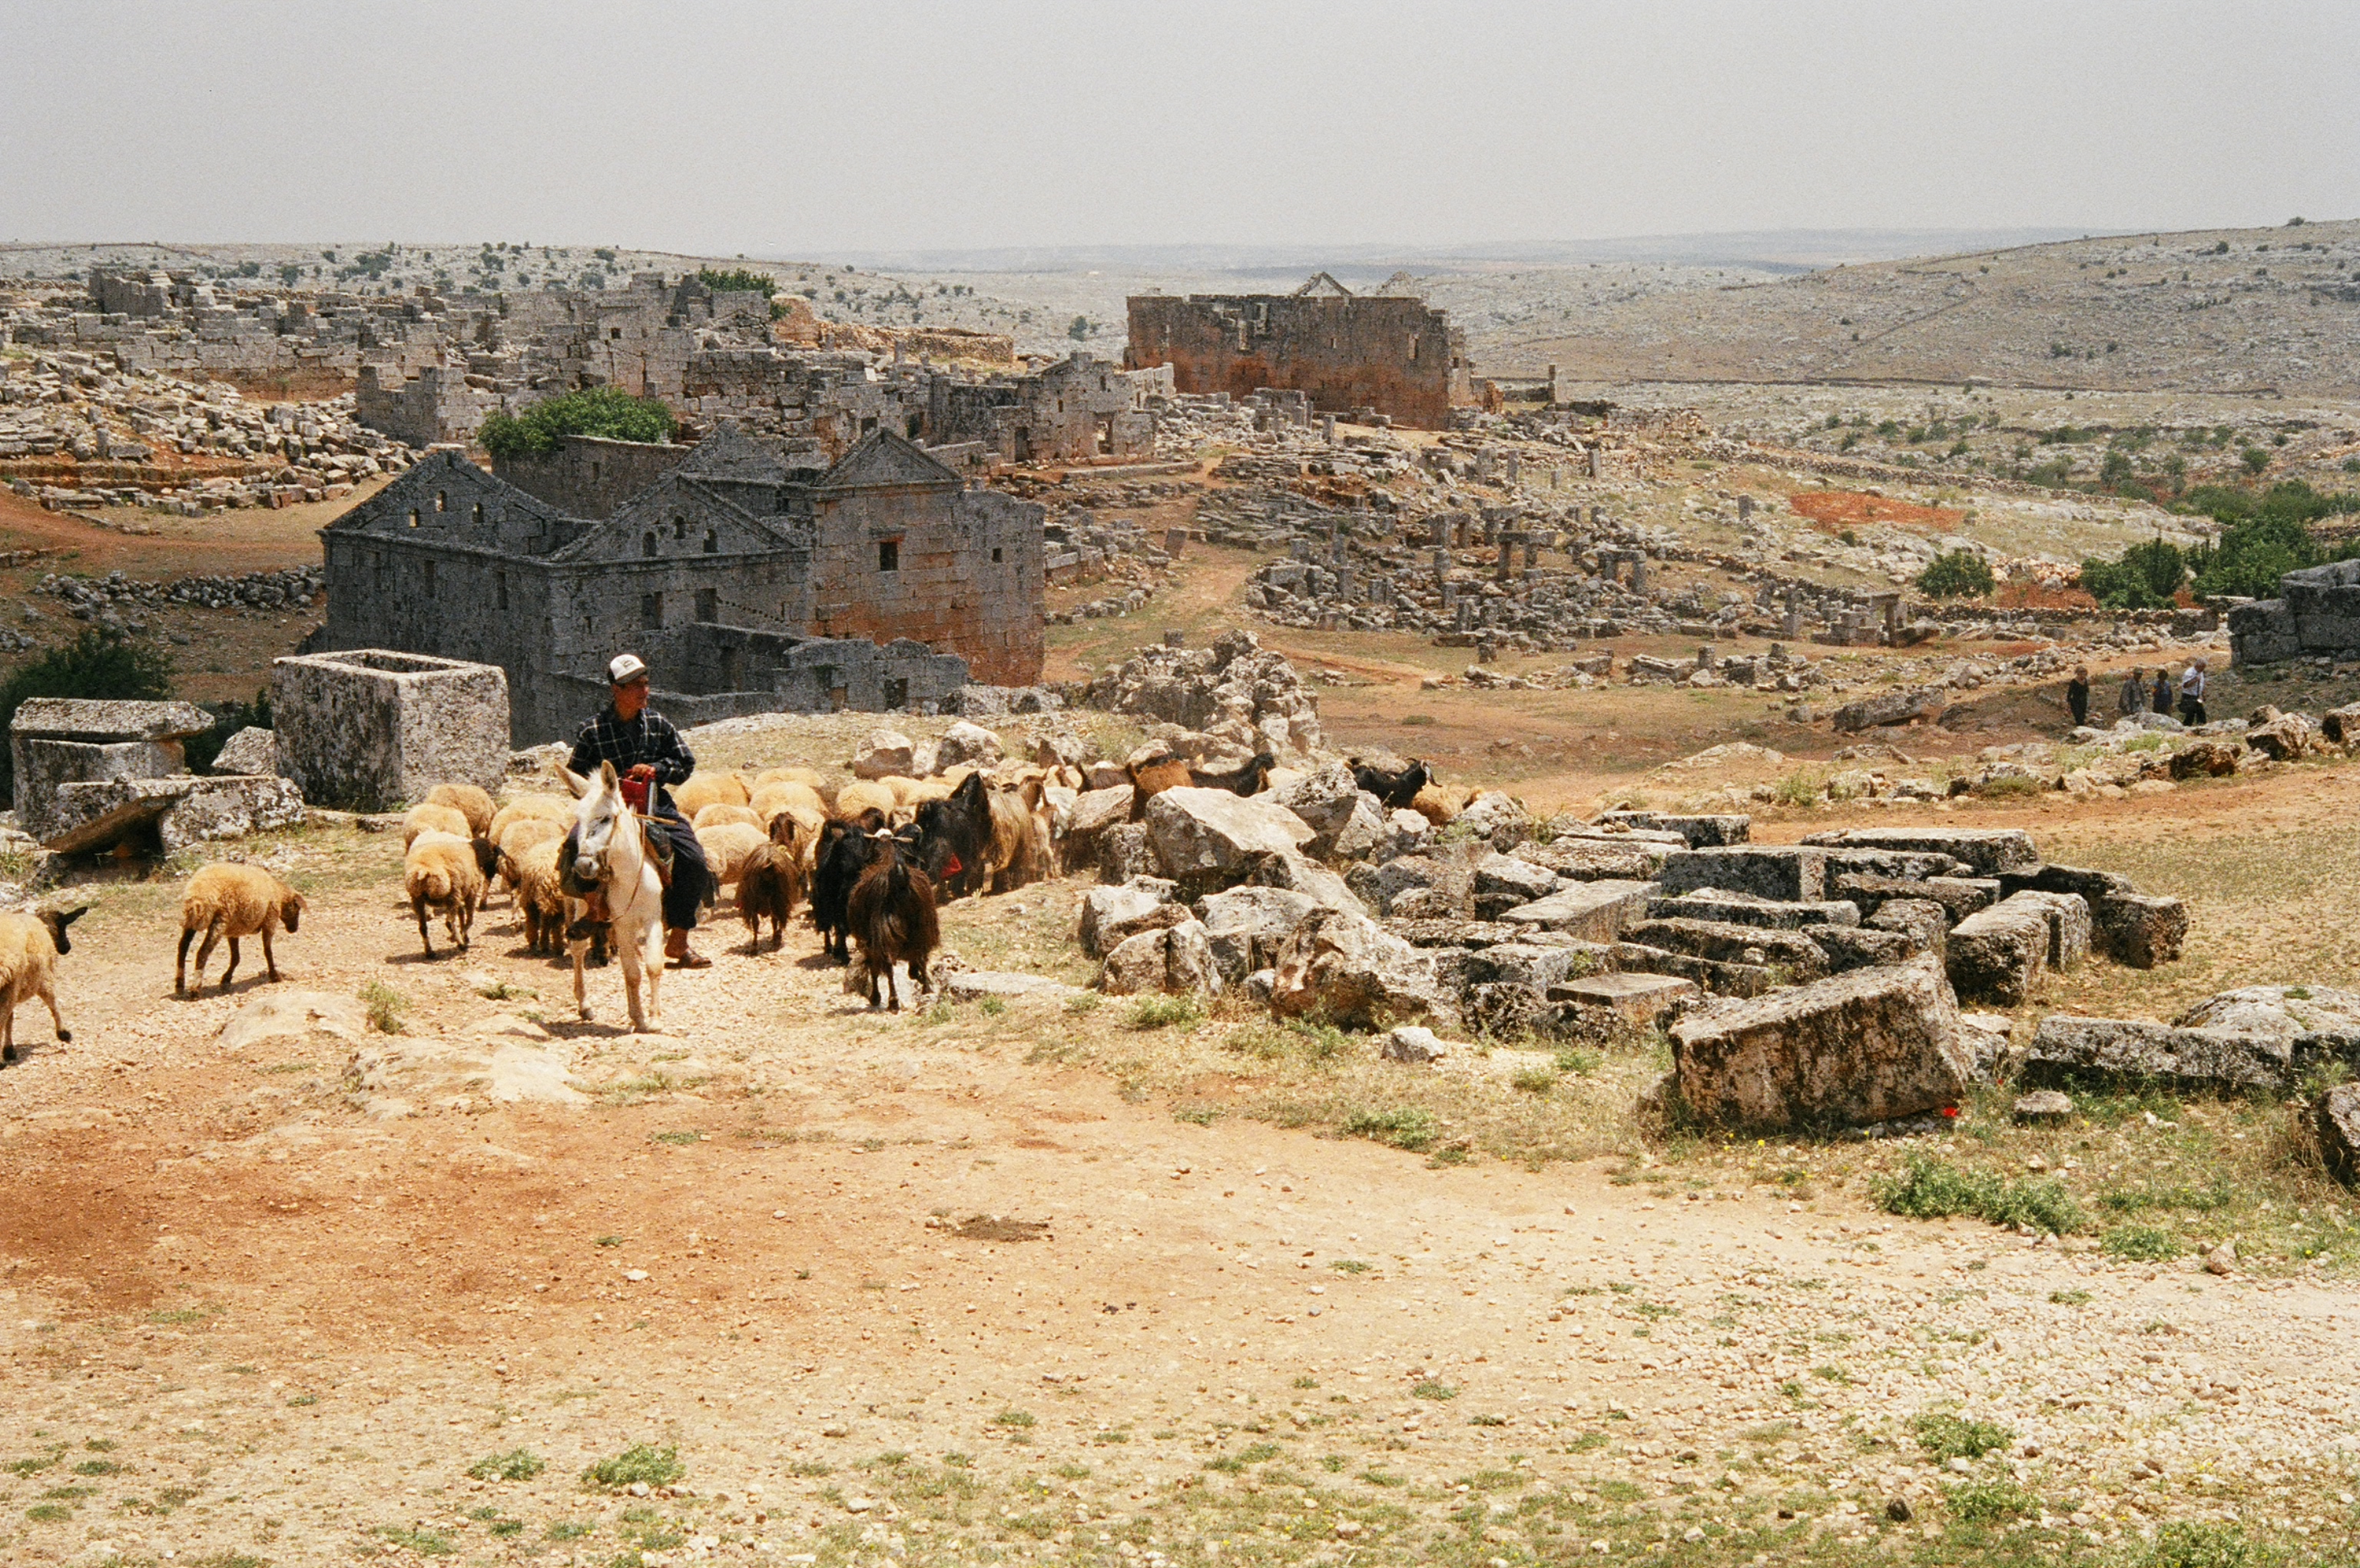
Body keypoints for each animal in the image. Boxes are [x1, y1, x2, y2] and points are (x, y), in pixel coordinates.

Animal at [560, 760, 668, 1032]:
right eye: (578, 819)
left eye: (606, 818)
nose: (583, 866)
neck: (631, 876)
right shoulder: (623, 923)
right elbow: (632, 972)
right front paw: (639, 1017)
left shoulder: (652, 919)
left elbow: (652, 965)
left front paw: (653, 1018)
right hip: (581, 909)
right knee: (578, 950)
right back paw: (585, 1006)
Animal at [844, 829, 939, 1012]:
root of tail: (899, 877)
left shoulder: (868, 939)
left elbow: (873, 967)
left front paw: (875, 997)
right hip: (922, 924)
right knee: (921, 955)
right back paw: (925, 987)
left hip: (883, 929)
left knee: (886, 962)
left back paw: (893, 1000)